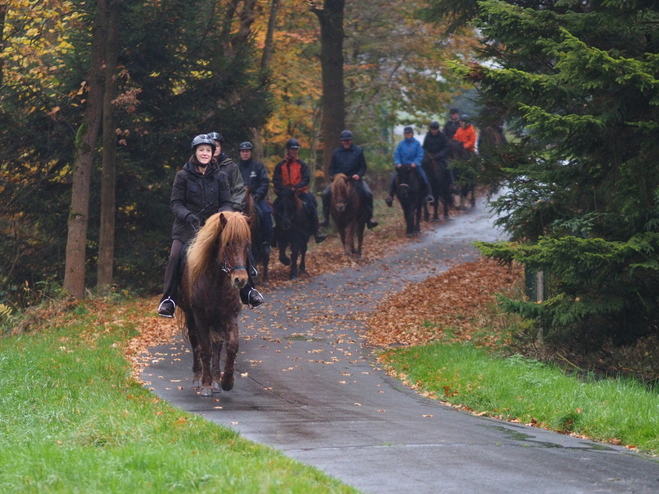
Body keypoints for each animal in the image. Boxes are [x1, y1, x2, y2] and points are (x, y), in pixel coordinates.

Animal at [179, 210, 251, 396]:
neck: (216, 281)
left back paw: (217, 380)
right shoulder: (200, 317)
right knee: (196, 344)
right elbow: (205, 349)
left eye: (247, 245)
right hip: (191, 317)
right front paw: (206, 384)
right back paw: (198, 378)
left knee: (217, 346)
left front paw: (226, 381)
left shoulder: (229, 316)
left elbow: (232, 346)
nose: (240, 280)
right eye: (228, 244)